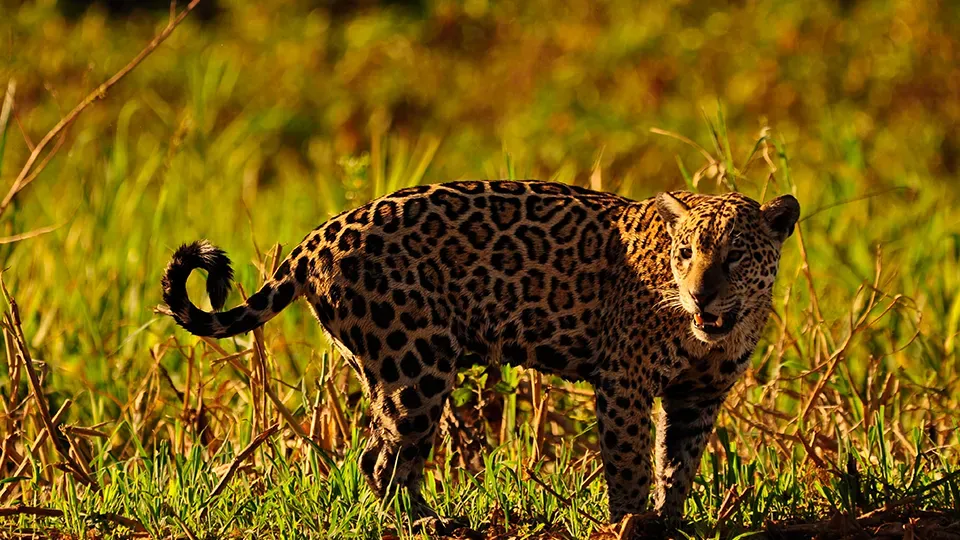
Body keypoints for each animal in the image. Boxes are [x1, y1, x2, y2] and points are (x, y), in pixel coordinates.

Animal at [161, 180, 799, 526]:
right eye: (686, 252)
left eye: (735, 256)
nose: (699, 294)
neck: (717, 332)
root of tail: (319, 235)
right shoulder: (625, 381)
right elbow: (630, 461)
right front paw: (627, 522)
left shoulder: (699, 394)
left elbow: (679, 463)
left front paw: (668, 523)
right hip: (414, 365)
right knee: (386, 460)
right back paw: (430, 525)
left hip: (392, 368)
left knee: (379, 457)